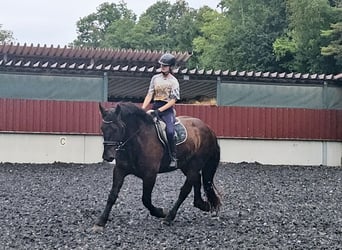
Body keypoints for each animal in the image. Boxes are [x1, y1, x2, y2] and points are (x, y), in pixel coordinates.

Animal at [93, 102, 222, 230]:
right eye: (102, 128)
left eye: (117, 128)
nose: (107, 156)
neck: (136, 140)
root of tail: (208, 128)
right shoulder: (120, 170)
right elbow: (112, 195)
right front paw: (101, 221)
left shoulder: (150, 175)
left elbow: (145, 199)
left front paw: (160, 212)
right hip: (186, 165)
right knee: (196, 179)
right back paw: (201, 204)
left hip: (195, 164)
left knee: (185, 190)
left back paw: (169, 218)